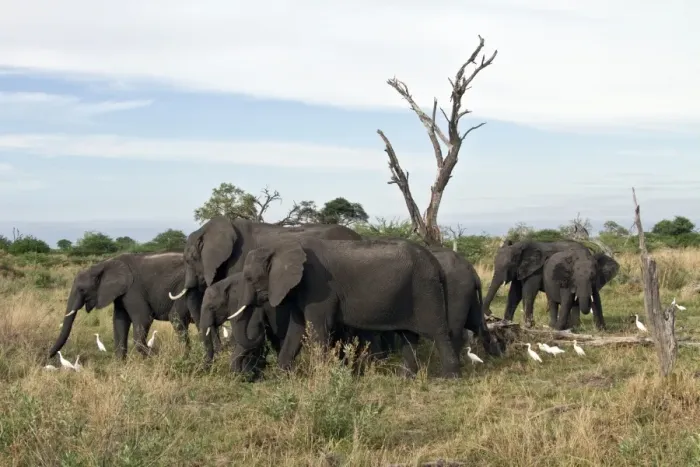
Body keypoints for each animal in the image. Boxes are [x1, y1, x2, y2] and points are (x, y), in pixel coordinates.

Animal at [48, 252, 214, 360]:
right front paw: (120, 365)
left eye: (82, 290)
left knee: (177, 318)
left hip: (183, 289)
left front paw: (158, 358)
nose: (49, 355)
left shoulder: (133, 289)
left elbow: (143, 318)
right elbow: (119, 322)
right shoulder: (121, 293)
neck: (104, 264)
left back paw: (187, 358)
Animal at [230, 237, 462, 378]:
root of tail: (436, 264)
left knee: (438, 333)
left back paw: (449, 379)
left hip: (425, 290)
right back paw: (405, 378)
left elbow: (318, 330)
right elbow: (297, 330)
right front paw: (282, 377)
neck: (281, 247)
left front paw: (321, 377)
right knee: (408, 335)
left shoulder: (318, 287)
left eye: (249, 278)